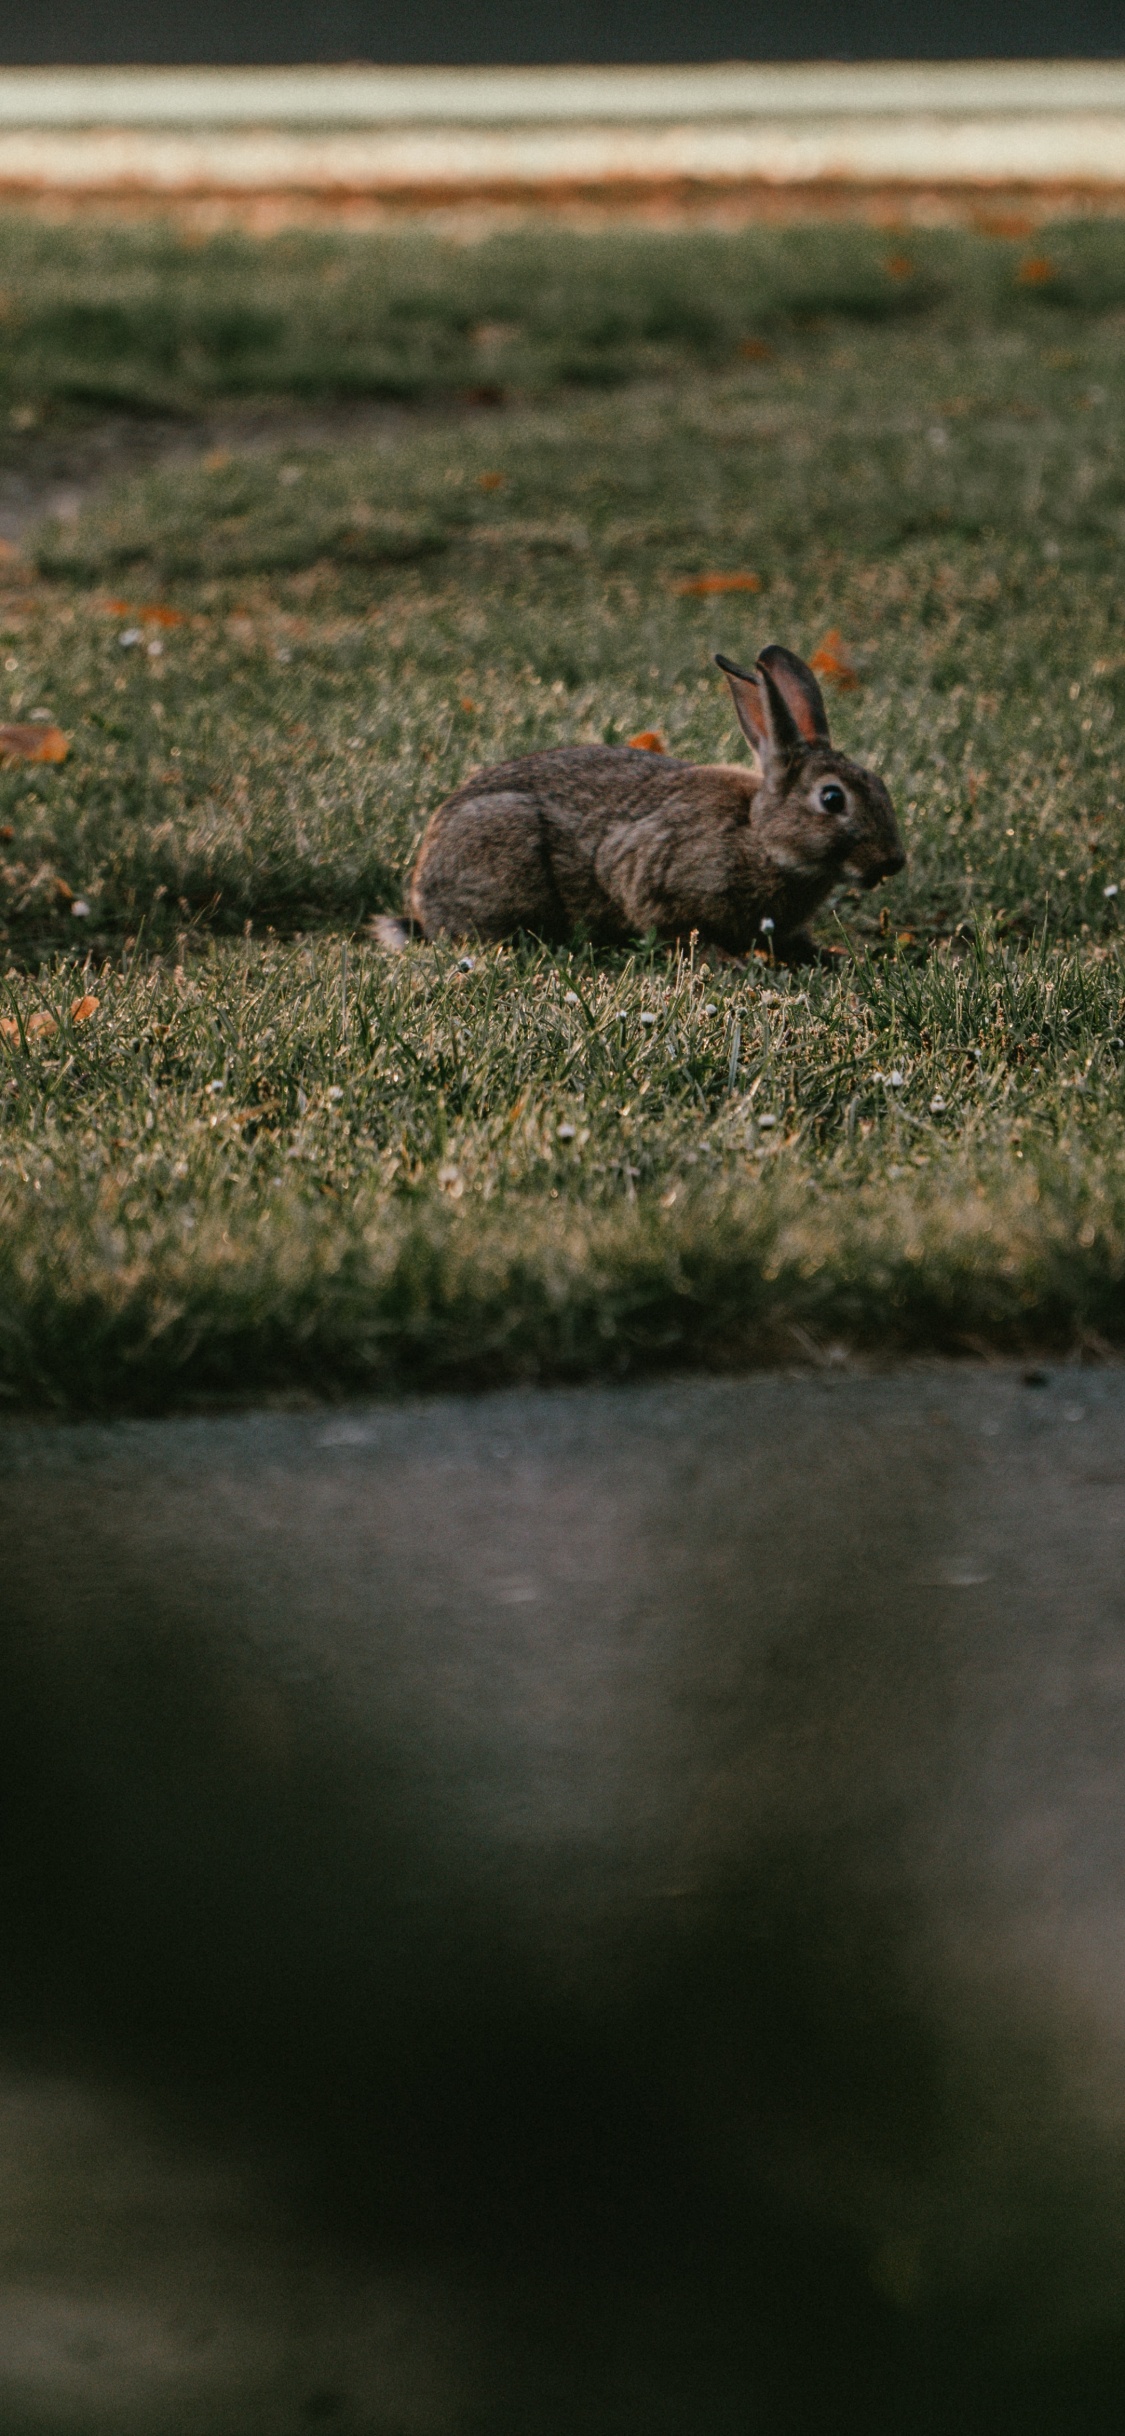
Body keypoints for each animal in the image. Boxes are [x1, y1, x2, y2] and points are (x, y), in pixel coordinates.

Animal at [399, 644, 904, 962]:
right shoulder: (648, 872)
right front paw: (724, 958)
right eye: (832, 798)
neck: (760, 837)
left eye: (880, 785)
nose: (894, 861)